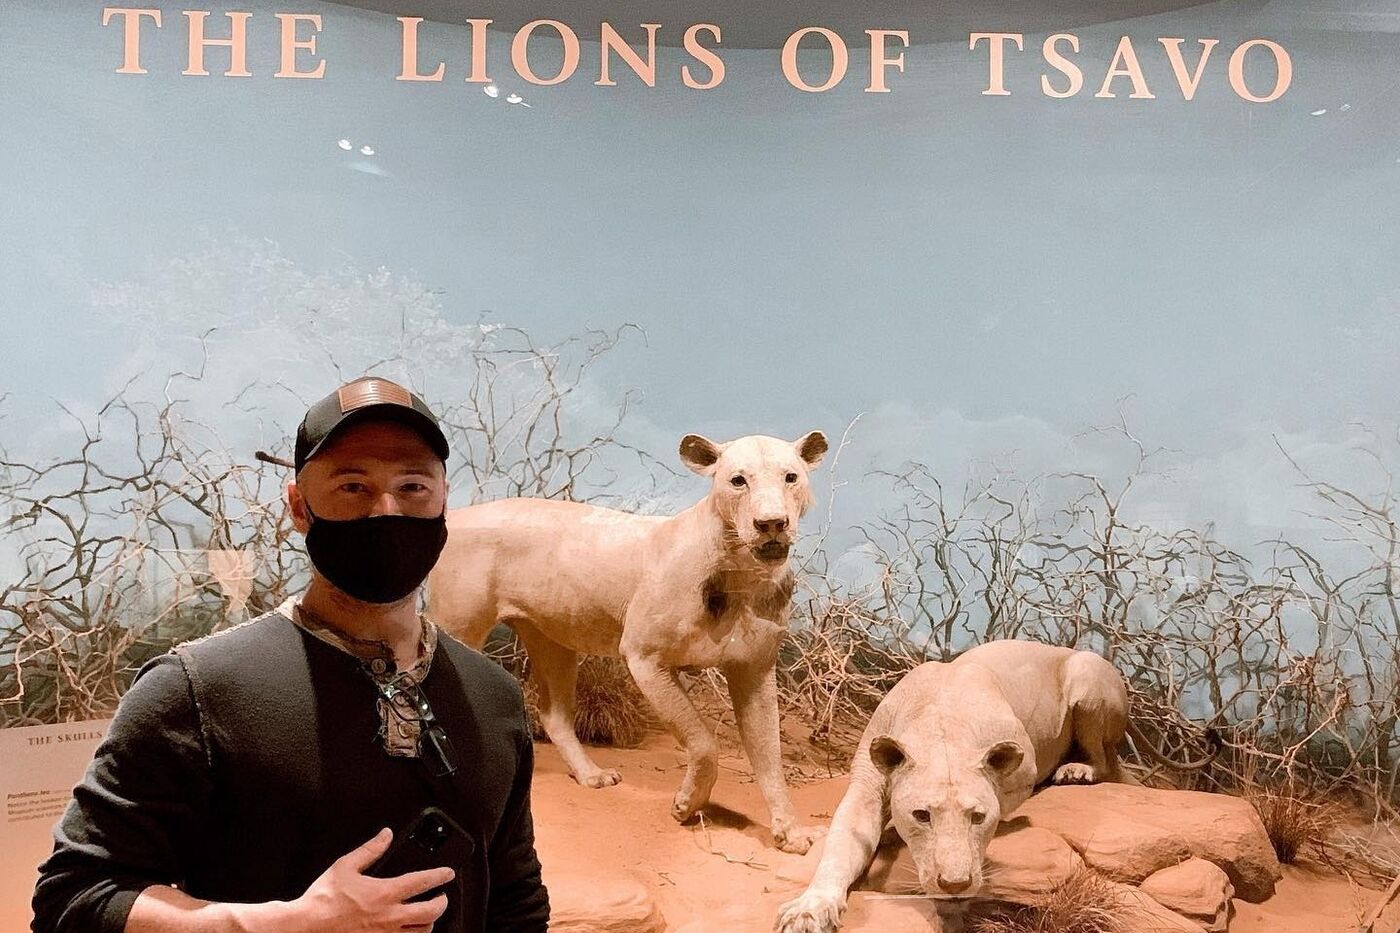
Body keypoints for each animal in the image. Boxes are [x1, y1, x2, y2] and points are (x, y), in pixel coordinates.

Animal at [425, 428, 828, 851]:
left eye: (790, 477)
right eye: (738, 481)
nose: (772, 523)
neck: (743, 574)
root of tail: (457, 513)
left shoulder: (754, 669)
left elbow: (769, 755)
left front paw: (791, 832)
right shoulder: (644, 656)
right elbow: (703, 742)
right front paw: (686, 804)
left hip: (552, 642)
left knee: (554, 715)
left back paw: (592, 776)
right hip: (462, 629)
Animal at [772, 636, 1220, 924]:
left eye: (977, 817)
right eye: (921, 815)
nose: (954, 884)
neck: (941, 729)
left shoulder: (1022, 769)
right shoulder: (864, 788)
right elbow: (840, 849)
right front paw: (809, 909)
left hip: (1088, 679)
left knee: (1109, 764)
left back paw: (1076, 771)